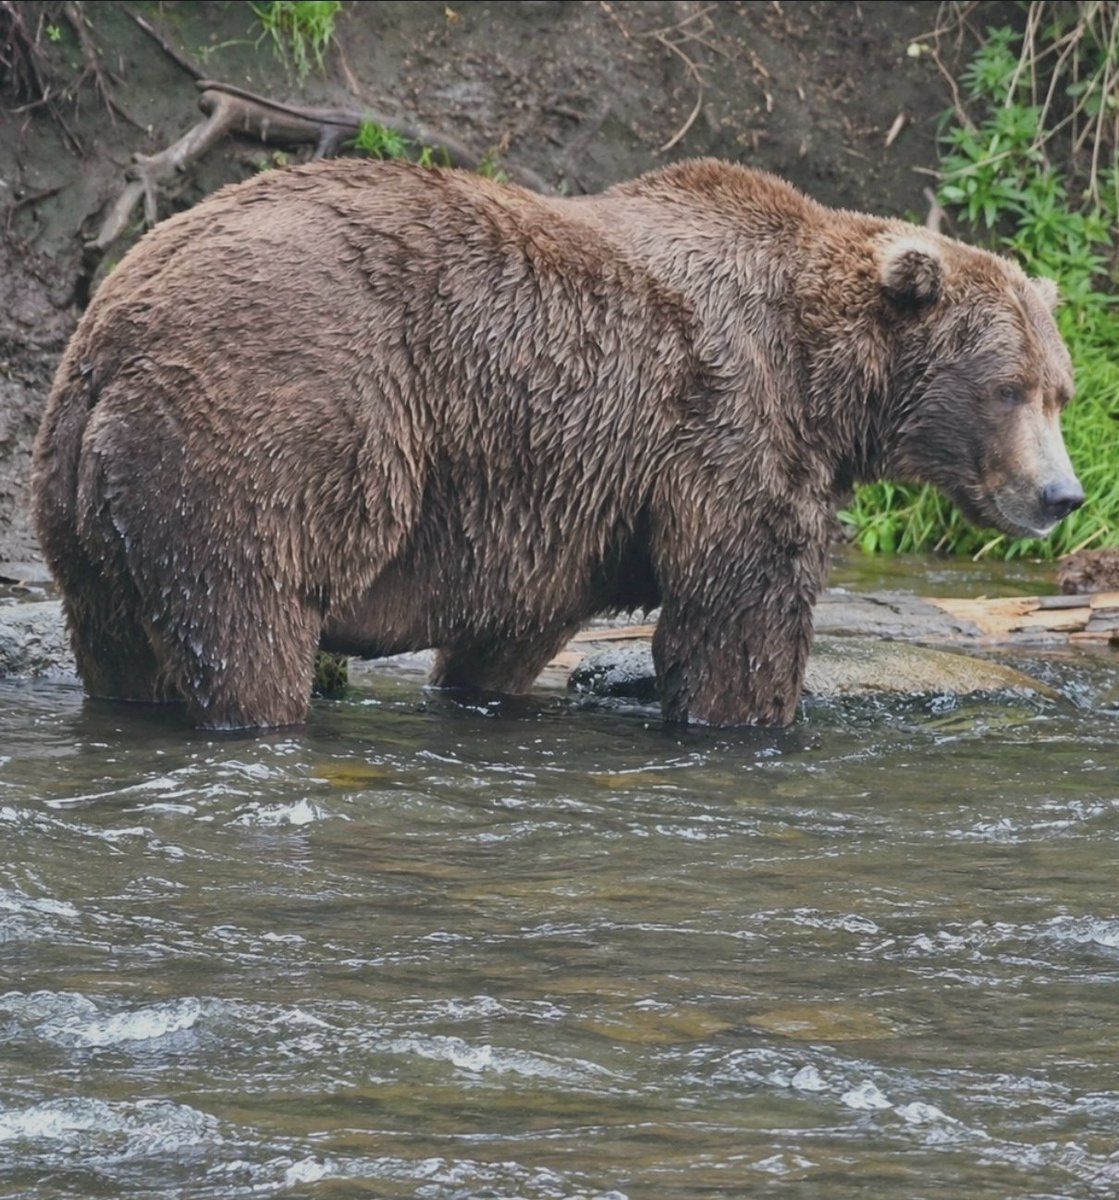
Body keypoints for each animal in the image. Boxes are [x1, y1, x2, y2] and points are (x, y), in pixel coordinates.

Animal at [31, 157, 1083, 730]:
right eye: (1006, 388)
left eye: (1060, 390)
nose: (1061, 496)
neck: (824, 374)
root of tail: (115, 328)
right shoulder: (727, 426)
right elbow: (740, 611)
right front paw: (752, 719)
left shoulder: (562, 498)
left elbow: (511, 628)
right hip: (266, 429)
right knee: (246, 613)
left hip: (83, 501)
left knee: (119, 646)